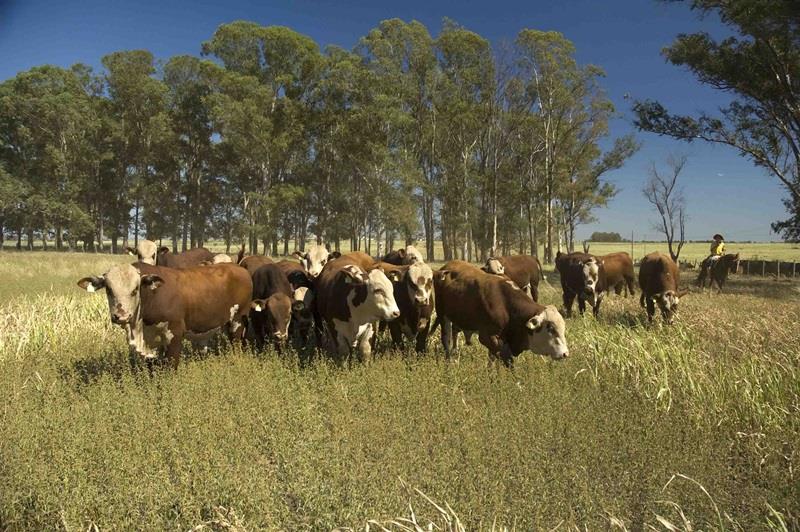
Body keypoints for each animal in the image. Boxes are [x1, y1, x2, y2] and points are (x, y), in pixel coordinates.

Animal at [77, 260, 253, 368]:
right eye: (108, 289)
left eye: (135, 289)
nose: (121, 316)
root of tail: (239, 268)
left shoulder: (174, 334)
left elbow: (170, 365)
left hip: (237, 321)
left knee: (236, 344)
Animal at [432, 260, 568, 366]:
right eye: (550, 328)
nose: (565, 353)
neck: (506, 304)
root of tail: (445, 268)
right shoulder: (488, 337)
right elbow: (505, 358)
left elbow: (493, 359)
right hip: (443, 316)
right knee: (446, 340)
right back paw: (449, 362)